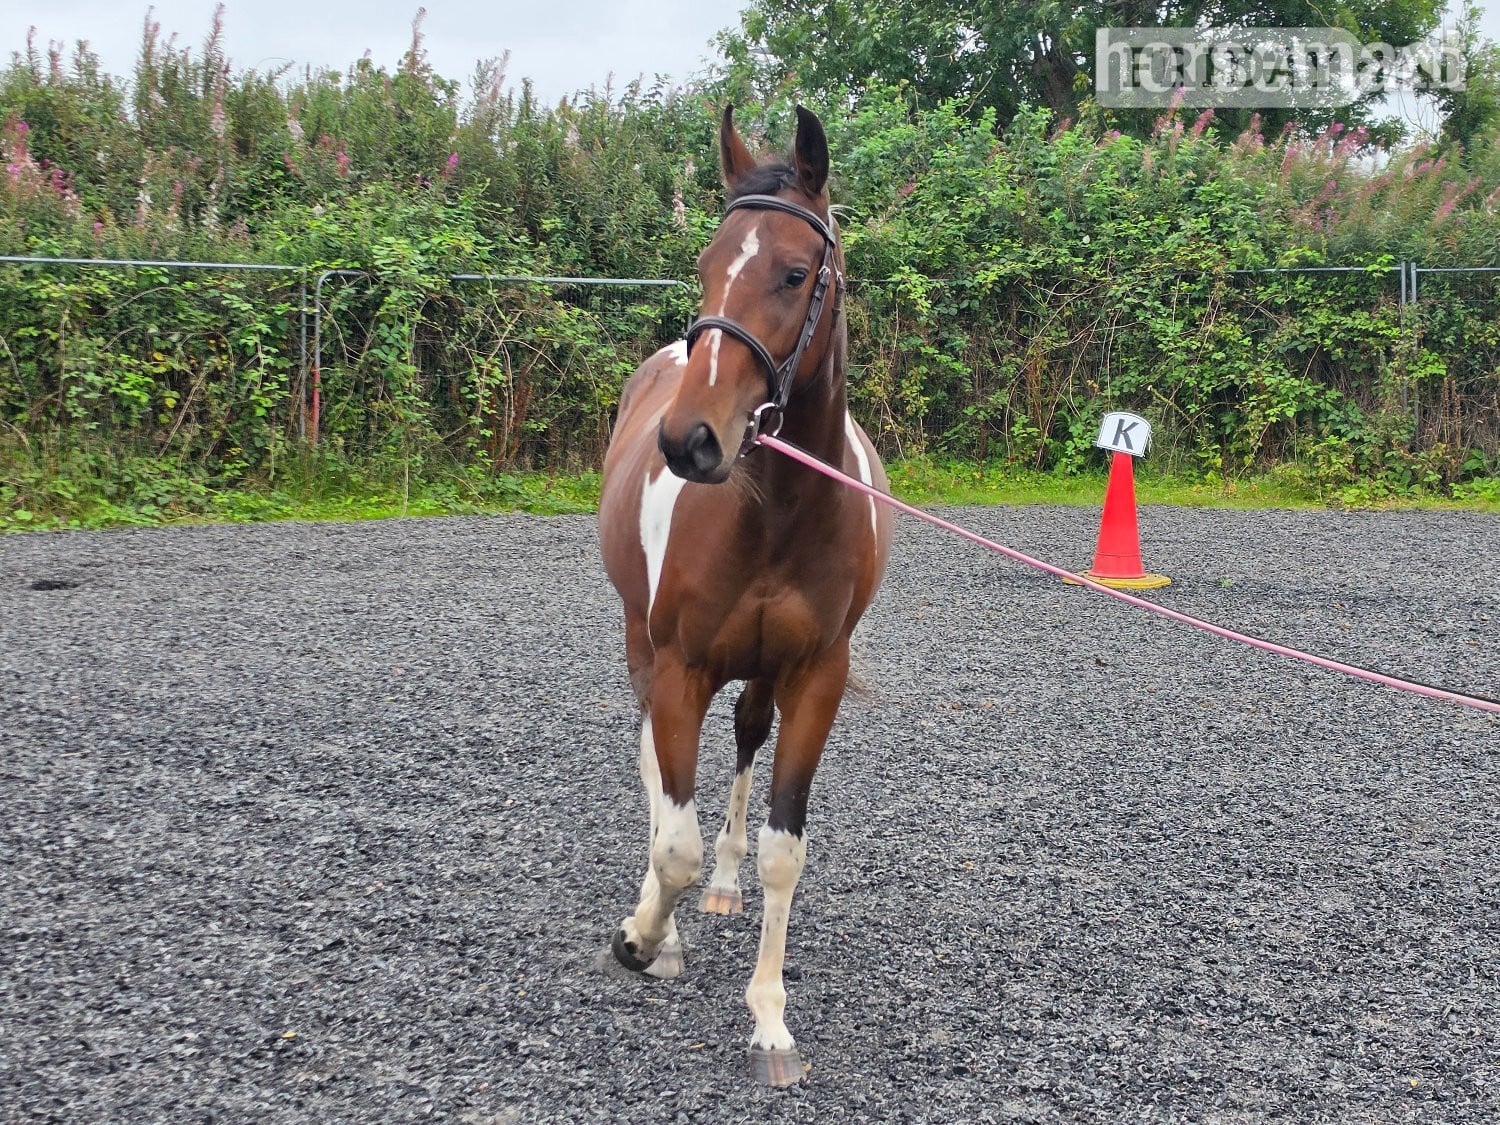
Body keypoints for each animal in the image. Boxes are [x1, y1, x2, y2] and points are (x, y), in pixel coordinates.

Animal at [596, 104, 893, 1086]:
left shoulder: (814, 678)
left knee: (742, 744)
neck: (775, 514)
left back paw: (722, 889)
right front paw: (644, 938)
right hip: (641, 642)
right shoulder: (680, 666)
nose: (689, 440)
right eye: (706, 265)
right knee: (656, 767)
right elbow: (673, 840)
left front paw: (770, 1017)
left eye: (796, 273)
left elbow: (782, 852)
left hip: (758, 673)